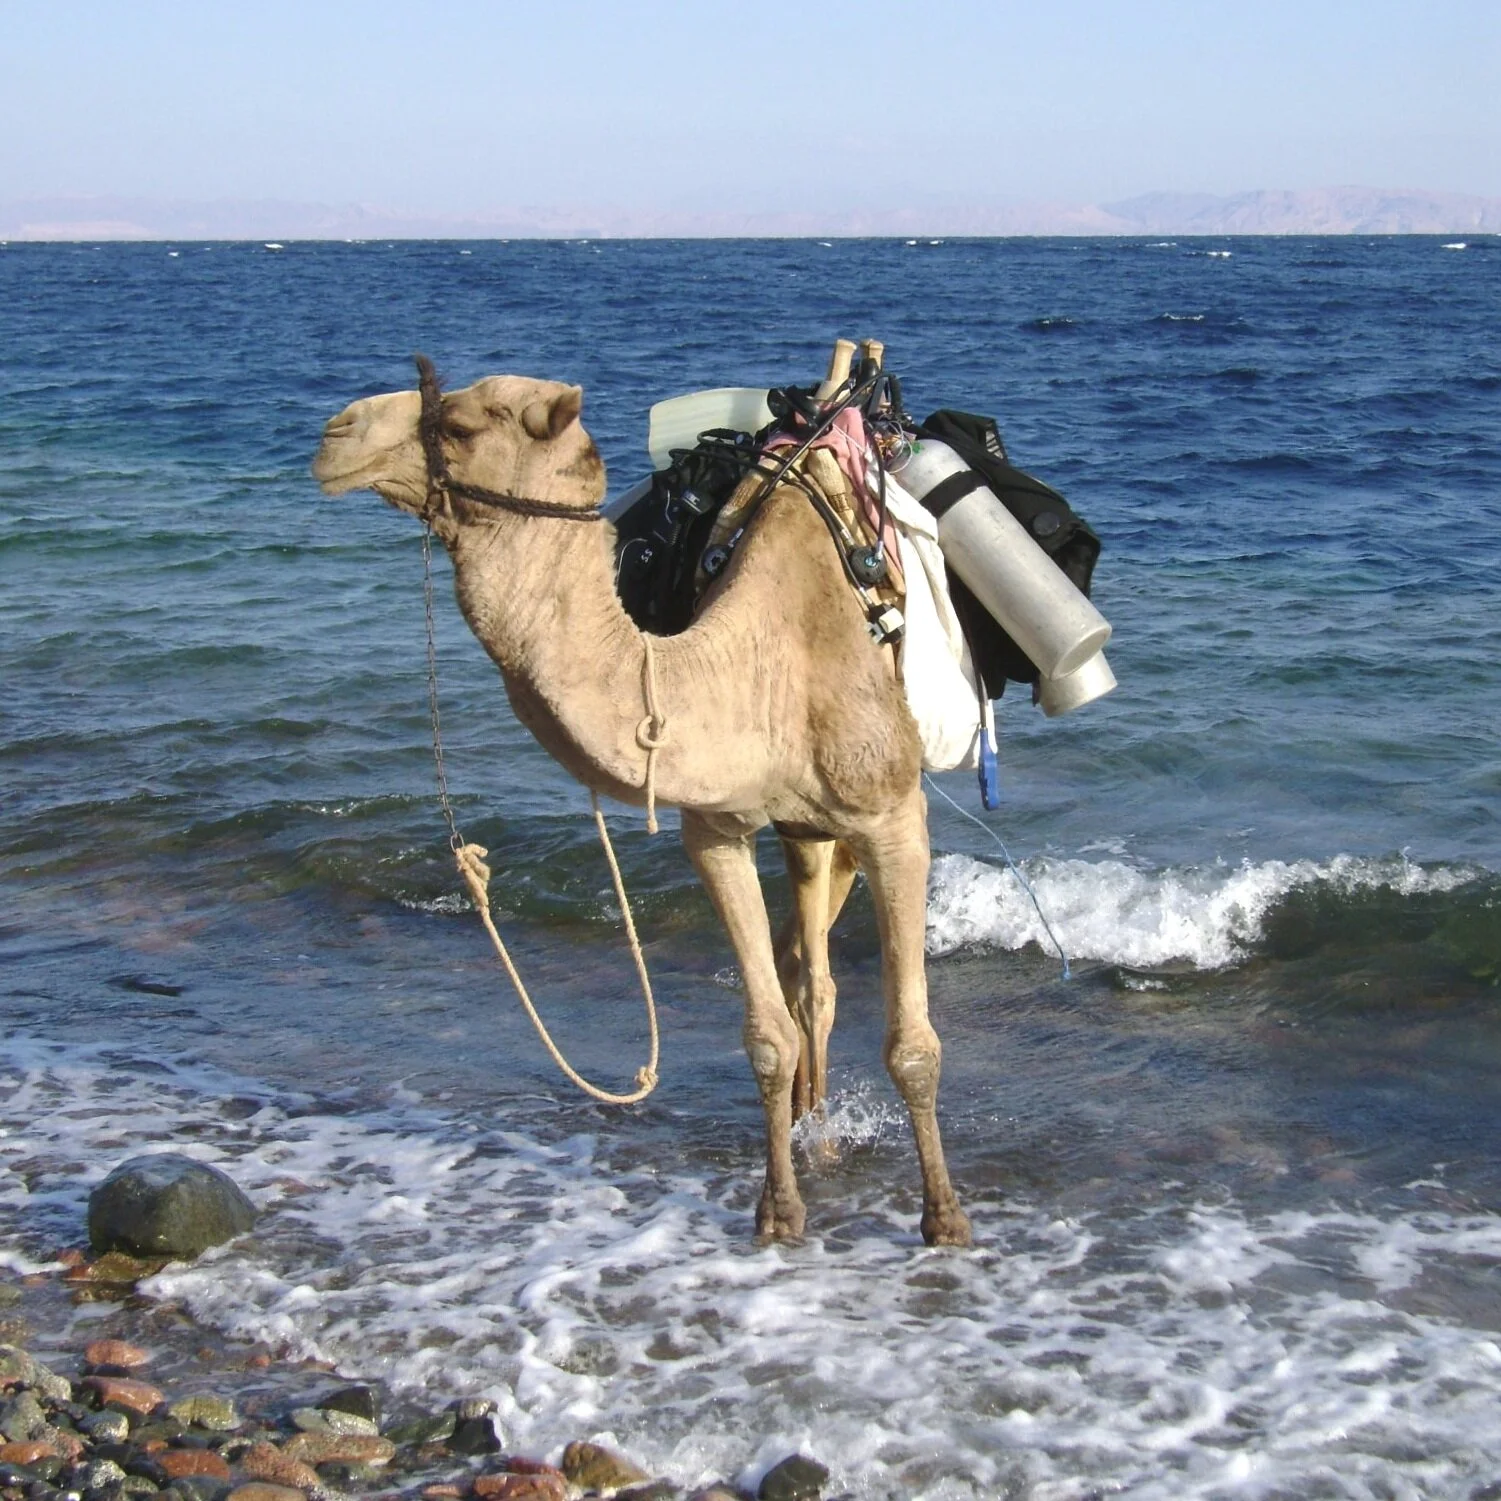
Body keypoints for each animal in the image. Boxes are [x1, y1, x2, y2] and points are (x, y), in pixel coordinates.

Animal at [311, 362, 972, 1248]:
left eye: (458, 424)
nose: (335, 434)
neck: (767, 660)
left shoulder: (894, 817)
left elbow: (913, 1045)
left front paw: (944, 1217)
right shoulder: (717, 829)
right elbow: (765, 1035)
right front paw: (777, 1211)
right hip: (803, 828)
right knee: (810, 979)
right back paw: (816, 1131)